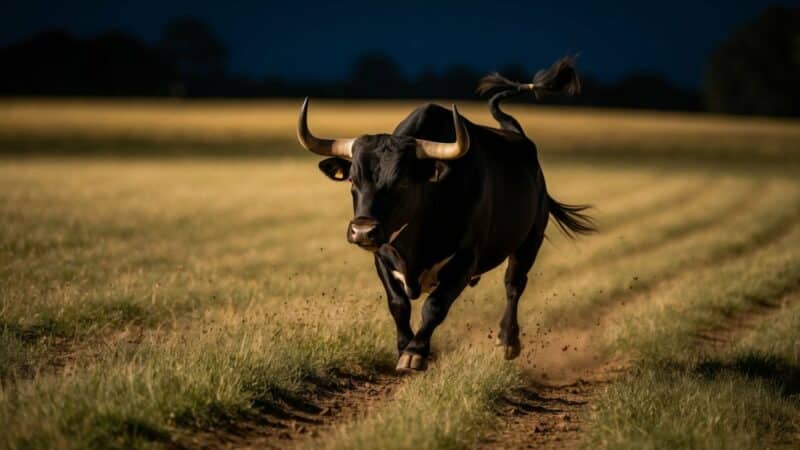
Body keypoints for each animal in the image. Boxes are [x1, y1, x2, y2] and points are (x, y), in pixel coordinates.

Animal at [296, 96, 592, 370]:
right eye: (353, 181)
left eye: (402, 181)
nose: (363, 231)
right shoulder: (383, 258)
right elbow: (398, 304)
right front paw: (404, 346)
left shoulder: (464, 261)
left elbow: (435, 306)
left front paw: (415, 353)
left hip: (528, 242)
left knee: (513, 285)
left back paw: (508, 342)